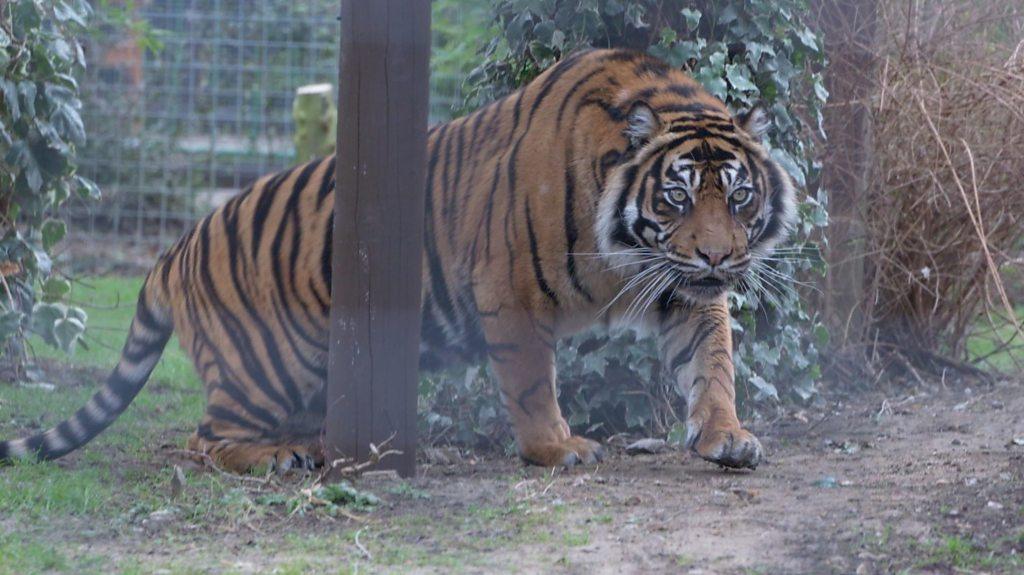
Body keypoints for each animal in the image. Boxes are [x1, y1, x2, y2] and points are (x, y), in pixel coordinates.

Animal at [0, 48, 794, 470]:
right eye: (677, 196)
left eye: (739, 196)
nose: (720, 254)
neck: (626, 246)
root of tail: (172, 251)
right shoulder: (508, 287)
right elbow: (532, 382)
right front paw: (556, 447)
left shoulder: (684, 287)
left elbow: (712, 362)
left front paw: (726, 435)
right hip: (267, 365)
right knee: (204, 439)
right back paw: (277, 456)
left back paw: (310, 443)